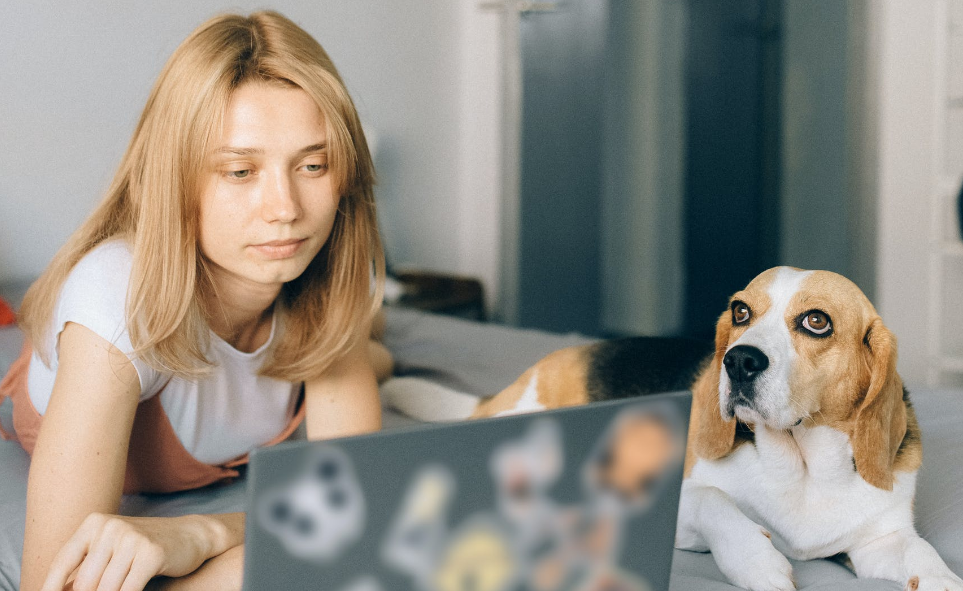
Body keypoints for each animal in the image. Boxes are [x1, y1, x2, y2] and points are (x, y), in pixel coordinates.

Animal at [384, 268, 963, 591]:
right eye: (741, 312)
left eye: (816, 321)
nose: (739, 361)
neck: (801, 468)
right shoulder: (684, 508)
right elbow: (715, 502)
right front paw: (758, 561)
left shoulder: (878, 541)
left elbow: (922, 554)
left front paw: (942, 578)